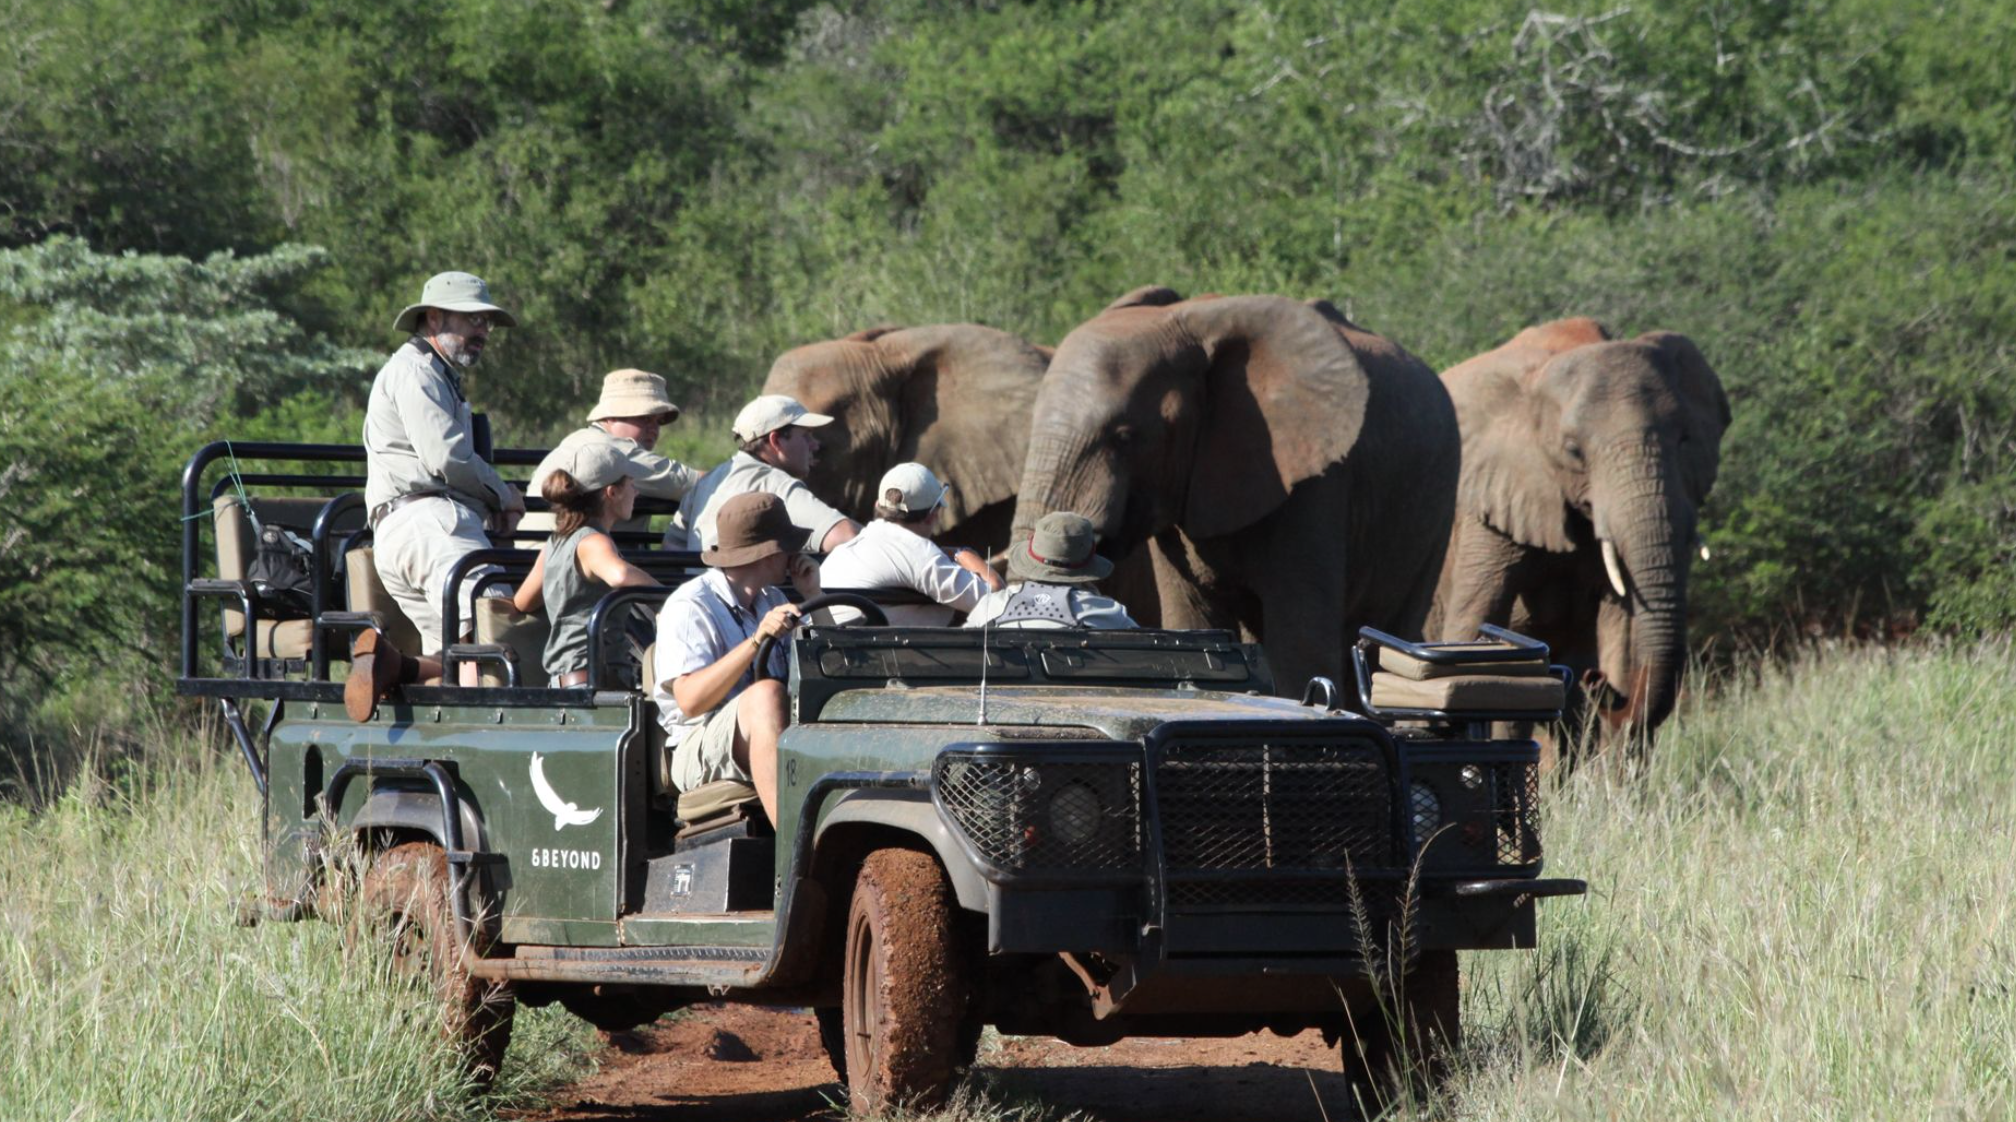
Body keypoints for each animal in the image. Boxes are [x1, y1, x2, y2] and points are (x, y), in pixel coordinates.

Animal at [1427, 314, 1741, 741]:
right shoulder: (1489, 506)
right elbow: (1472, 620)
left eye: (1684, 440)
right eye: (1574, 451)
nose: (1600, 682)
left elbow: (1621, 627)